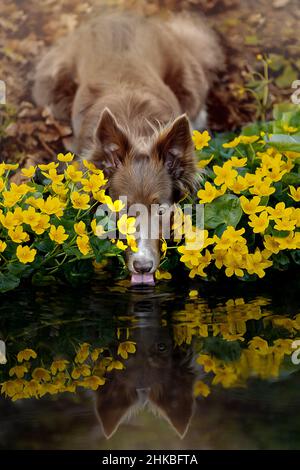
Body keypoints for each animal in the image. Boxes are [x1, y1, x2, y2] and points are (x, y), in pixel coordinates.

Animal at [33, 11, 223, 284]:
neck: (139, 130)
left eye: (162, 211)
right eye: (122, 210)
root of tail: (118, 15)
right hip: (52, 86)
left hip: (189, 81)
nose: (143, 267)